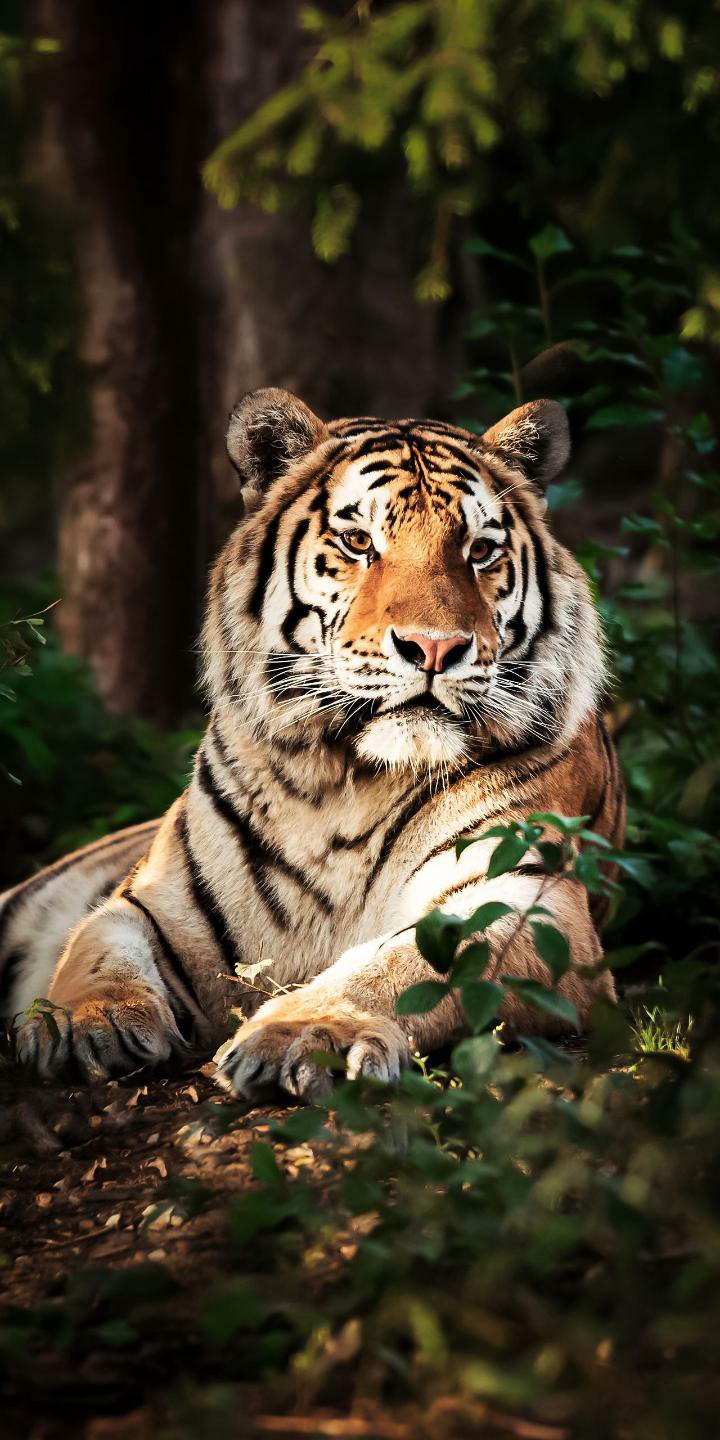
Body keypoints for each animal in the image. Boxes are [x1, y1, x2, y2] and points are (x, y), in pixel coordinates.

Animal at [0, 388, 624, 1099]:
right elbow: (96, 946)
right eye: (358, 542)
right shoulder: (152, 899)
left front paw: (307, 1035)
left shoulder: (525, 899)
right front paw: (84, 1020)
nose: (435, 647)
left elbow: (403, 967)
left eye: (480, 550)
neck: (341, 780)